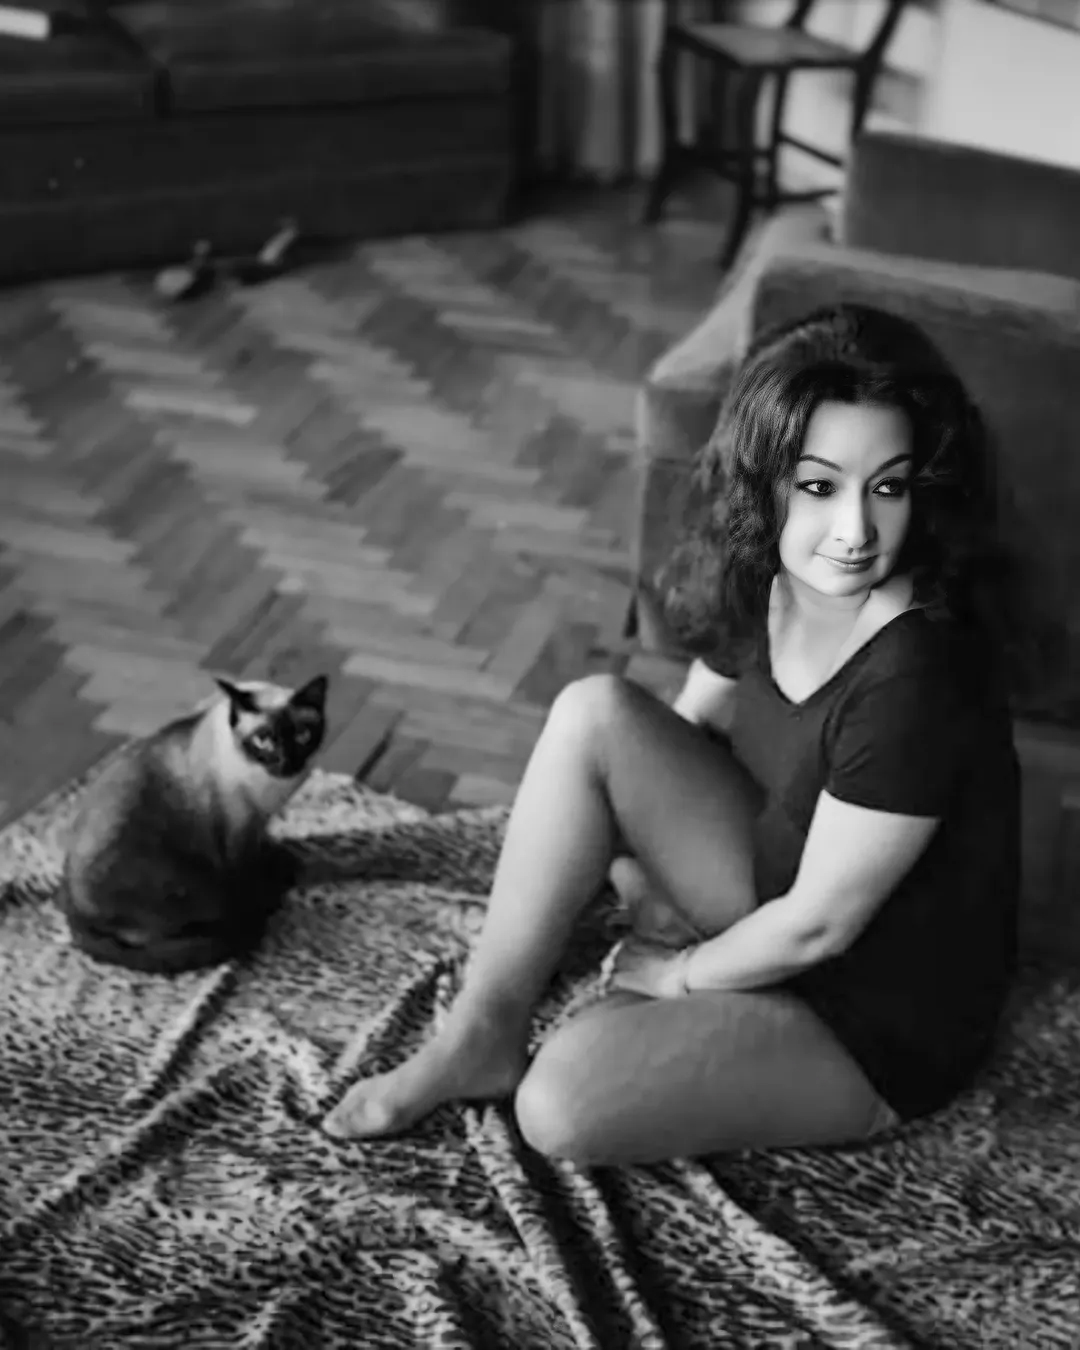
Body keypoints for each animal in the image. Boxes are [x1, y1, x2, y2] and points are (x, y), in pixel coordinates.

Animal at [58, 673, 329, 974]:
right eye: (263, 741)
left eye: (303, 735)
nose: (286, 763)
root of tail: (72, 912)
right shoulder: (238, 835)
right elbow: (247, 875)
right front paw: (266, 889)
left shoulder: (258, 825)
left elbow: (264, 850)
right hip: (194, 888)